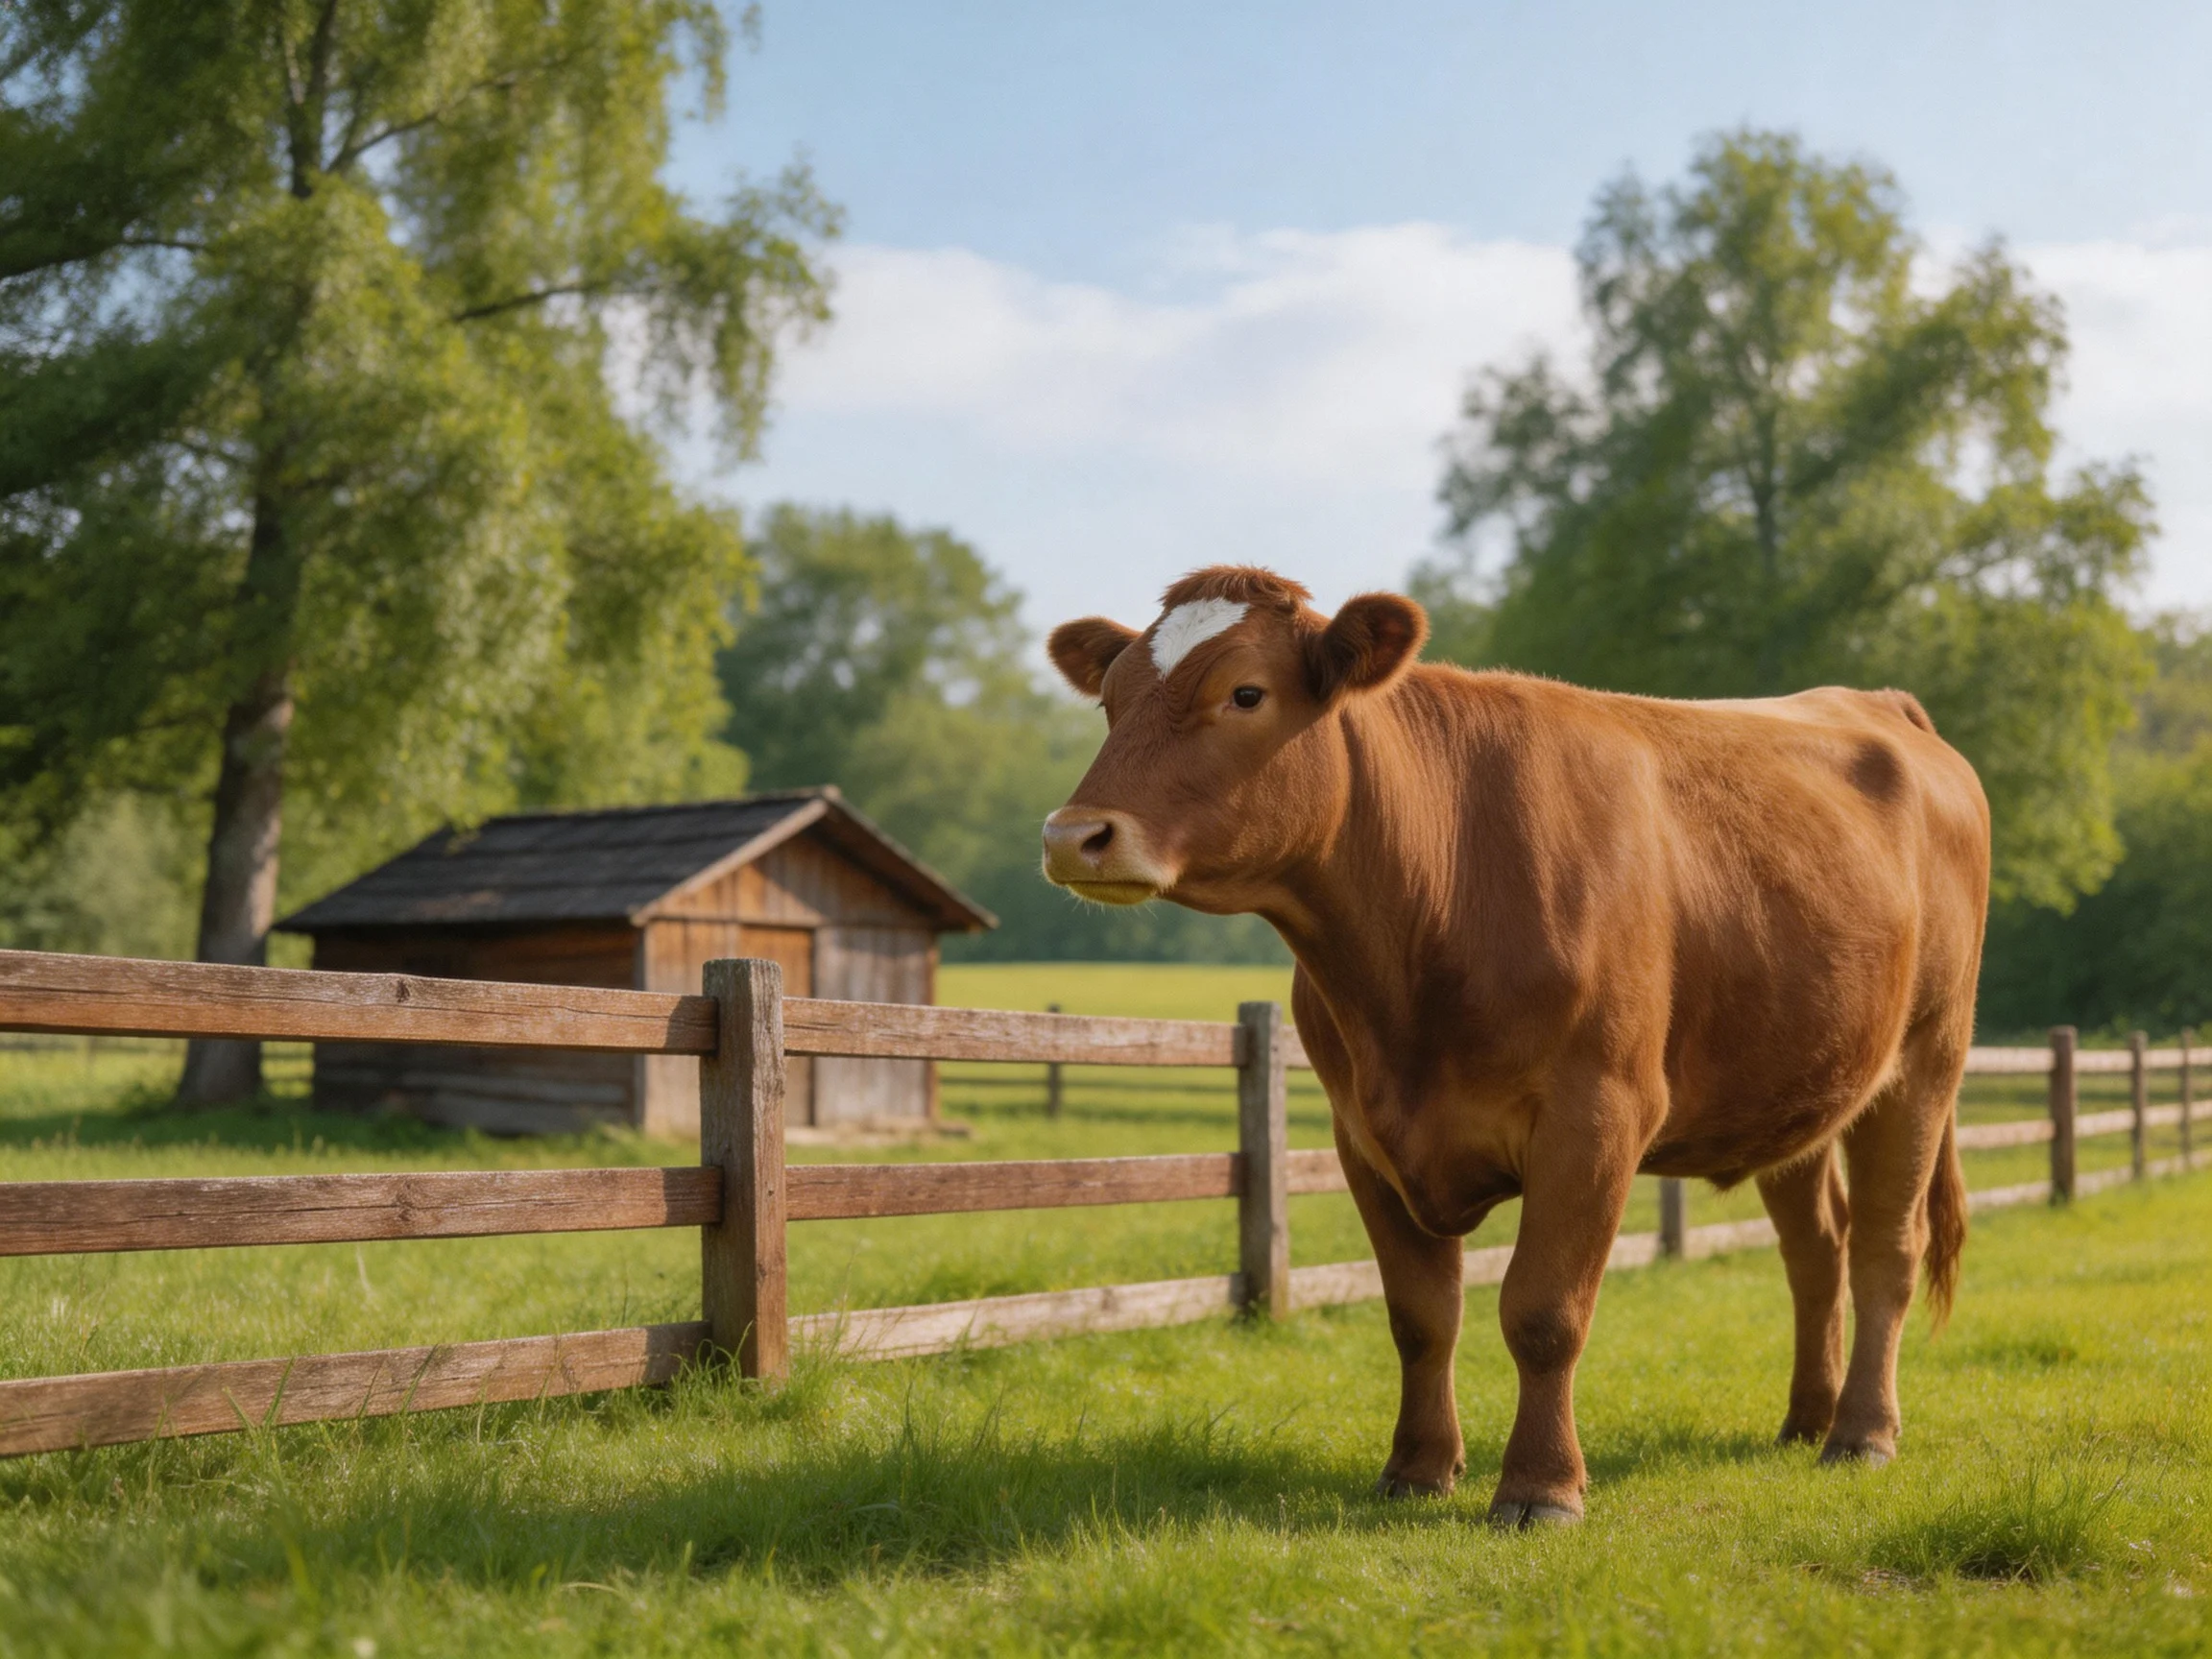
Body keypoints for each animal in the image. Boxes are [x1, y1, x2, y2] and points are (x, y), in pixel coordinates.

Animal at [1040, 566, 1989, 1527]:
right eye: (1111, 700)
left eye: (1245, 693)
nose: (1073, 835)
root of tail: (1880, 704)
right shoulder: (1362, 1135)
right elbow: (1421, 1315)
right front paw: (1418, 1469)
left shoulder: (1596, 1116)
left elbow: (1543, 1312)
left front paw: (1540, 1487)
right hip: (1796, 1084)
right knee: (1816, 1251)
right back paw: (1805, 1420)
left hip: (1925, 1059)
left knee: (1885, 1247)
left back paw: (1861, 1434)